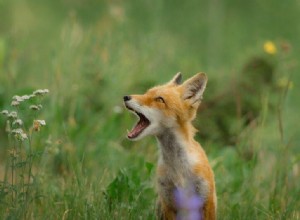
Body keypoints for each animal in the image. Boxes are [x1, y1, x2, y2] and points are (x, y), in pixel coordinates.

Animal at [123, 72, 217, 220]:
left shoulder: (207, 200)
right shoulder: (167, 203)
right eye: (146, 93)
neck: (178, 169)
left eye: (159, 99)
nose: (126, 97)